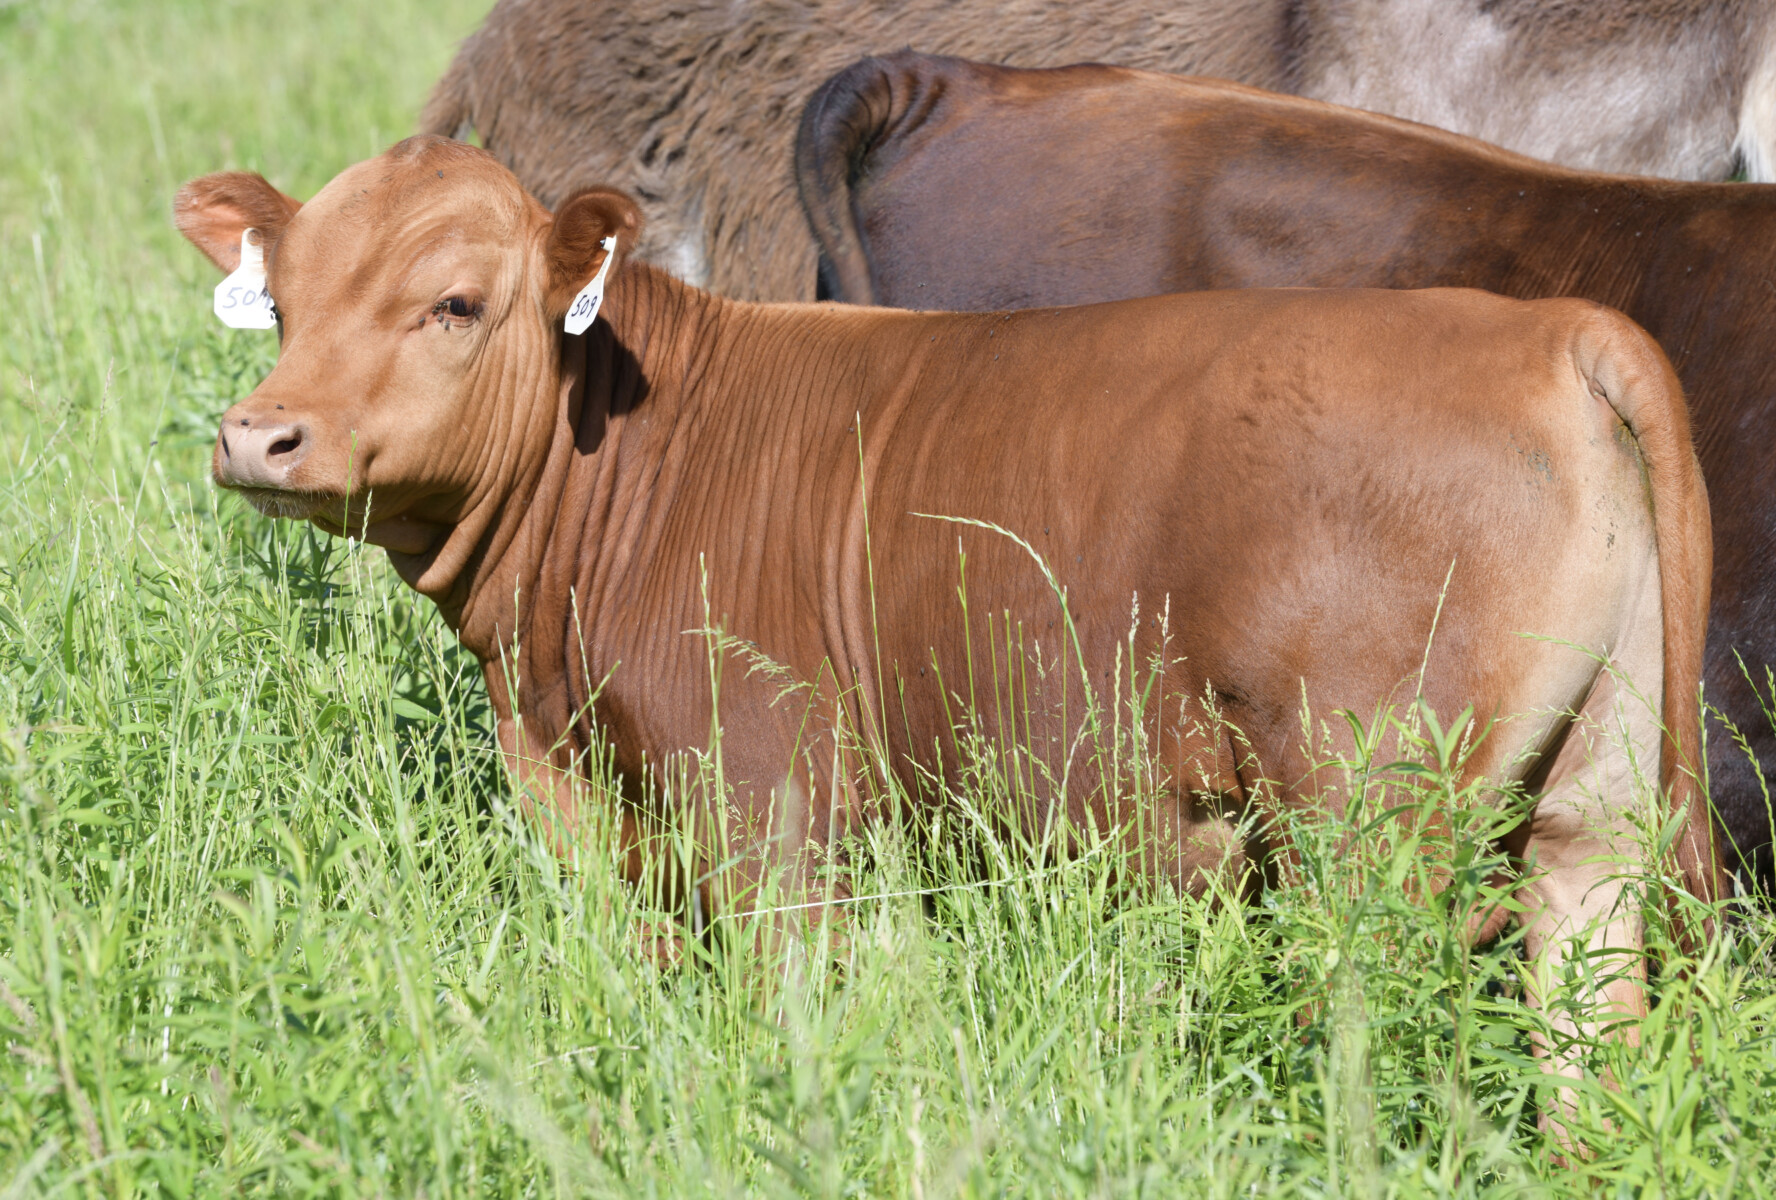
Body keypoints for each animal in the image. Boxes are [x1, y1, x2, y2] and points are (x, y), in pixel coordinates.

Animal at [175, 136, 1720, 1092]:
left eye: (456, 302)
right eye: (283, 299)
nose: (260, 436)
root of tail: (1551, 328)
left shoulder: (768, 817)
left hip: (1365, 826)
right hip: (1593, 815)